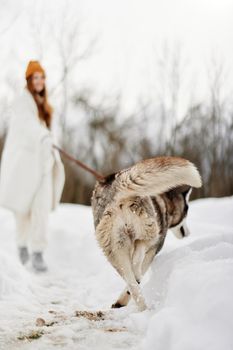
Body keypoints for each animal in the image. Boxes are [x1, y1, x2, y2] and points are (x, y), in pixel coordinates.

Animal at [91, 157, 202, 310]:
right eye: (186, 211)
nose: (188, 233)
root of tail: (116, 187)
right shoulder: (154, 249)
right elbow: (141, 265)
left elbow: (129, 282)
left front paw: (120, 302)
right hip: (149, 232)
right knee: (139, 253)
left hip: (115, 248)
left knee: (131, 278)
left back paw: (141, 306)